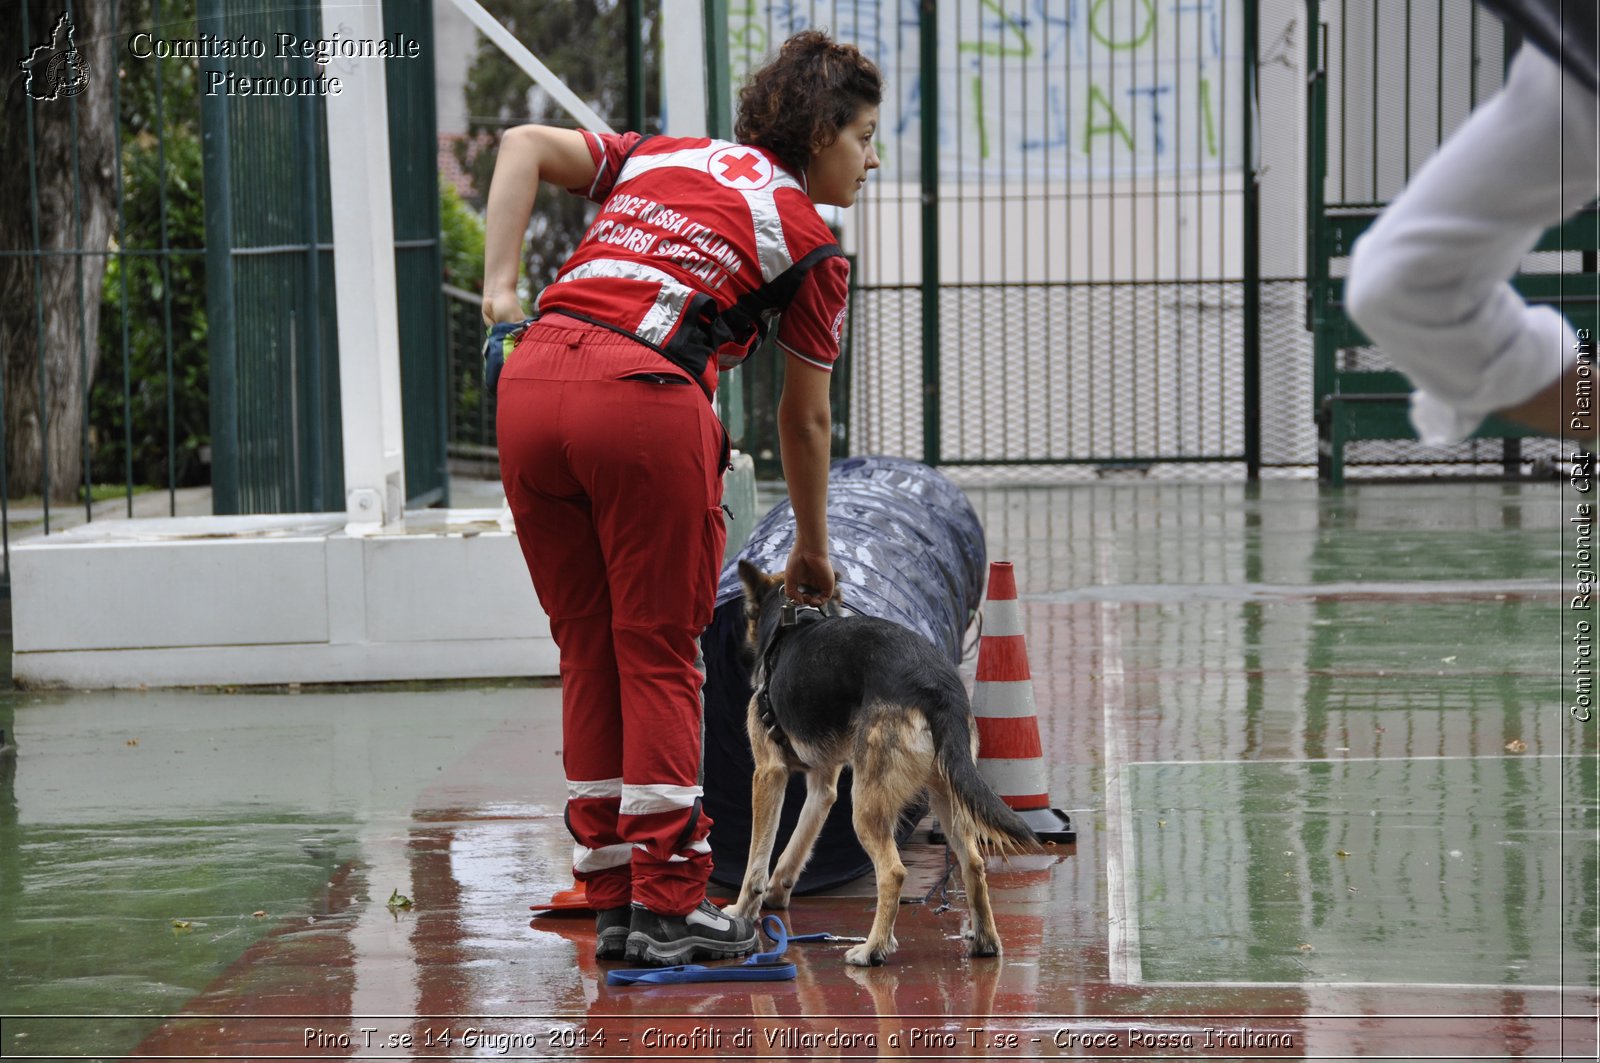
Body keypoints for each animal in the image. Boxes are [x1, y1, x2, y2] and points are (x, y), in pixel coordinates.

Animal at [732, 560, 1043, 966]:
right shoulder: (823, 787)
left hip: (867, 807)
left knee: (893, 872)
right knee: (973, 863)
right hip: (947, 794)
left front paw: (741, 910)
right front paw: (778, 892)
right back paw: (984, 942)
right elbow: (797, 844)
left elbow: (757, 859)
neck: (793, 618)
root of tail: (935, 683)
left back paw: (873, 948)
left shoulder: (768, 774)